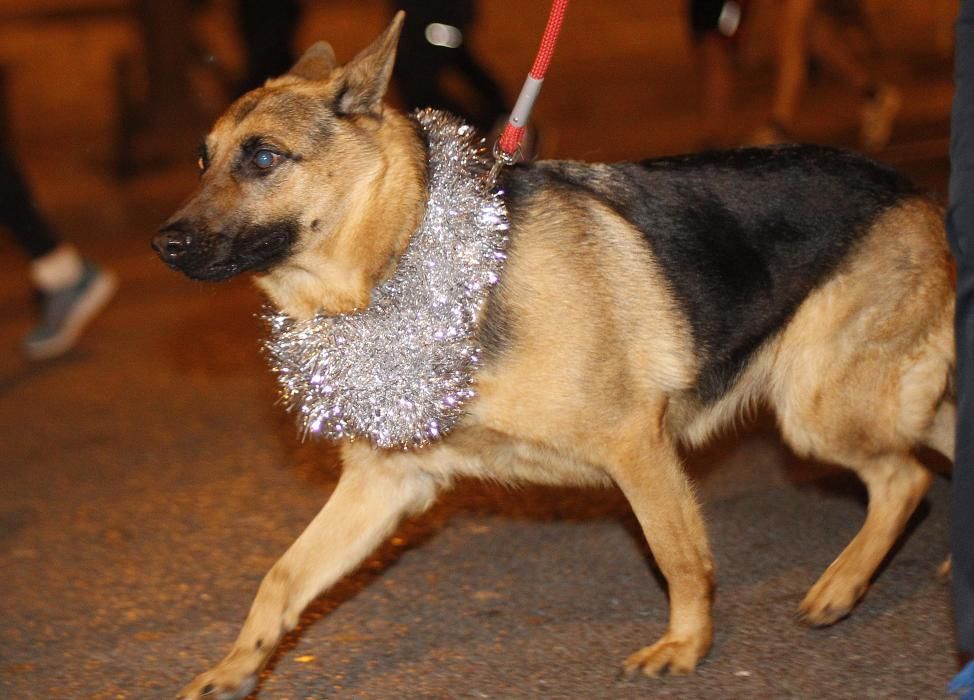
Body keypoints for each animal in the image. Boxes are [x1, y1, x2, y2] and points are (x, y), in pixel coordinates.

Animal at [156, 12, 956, 700]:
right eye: (203, 159)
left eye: (264, 157)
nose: (163, 243)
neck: (412, 255)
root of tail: (915, 193)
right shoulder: (385, 483)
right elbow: (281, 577)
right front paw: (238, 665)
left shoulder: (636, 445)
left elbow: (678, 557)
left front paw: (686, 645)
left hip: (817, 407)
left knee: (906, 478)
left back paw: (841, 585)